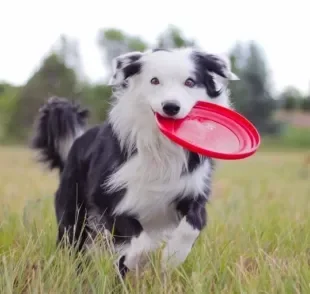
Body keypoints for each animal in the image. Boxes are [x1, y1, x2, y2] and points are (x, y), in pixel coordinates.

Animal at [31, 47, 239, 276]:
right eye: (154, 80)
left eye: (190, 82)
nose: (171, 107)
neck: (161, 147)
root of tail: (76, 143)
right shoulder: (107, 198)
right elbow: (140, 244)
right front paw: (136, 260)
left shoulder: (193, 192)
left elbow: (192, 226)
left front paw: (172, 257)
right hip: (73, 213)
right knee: (72, 245)